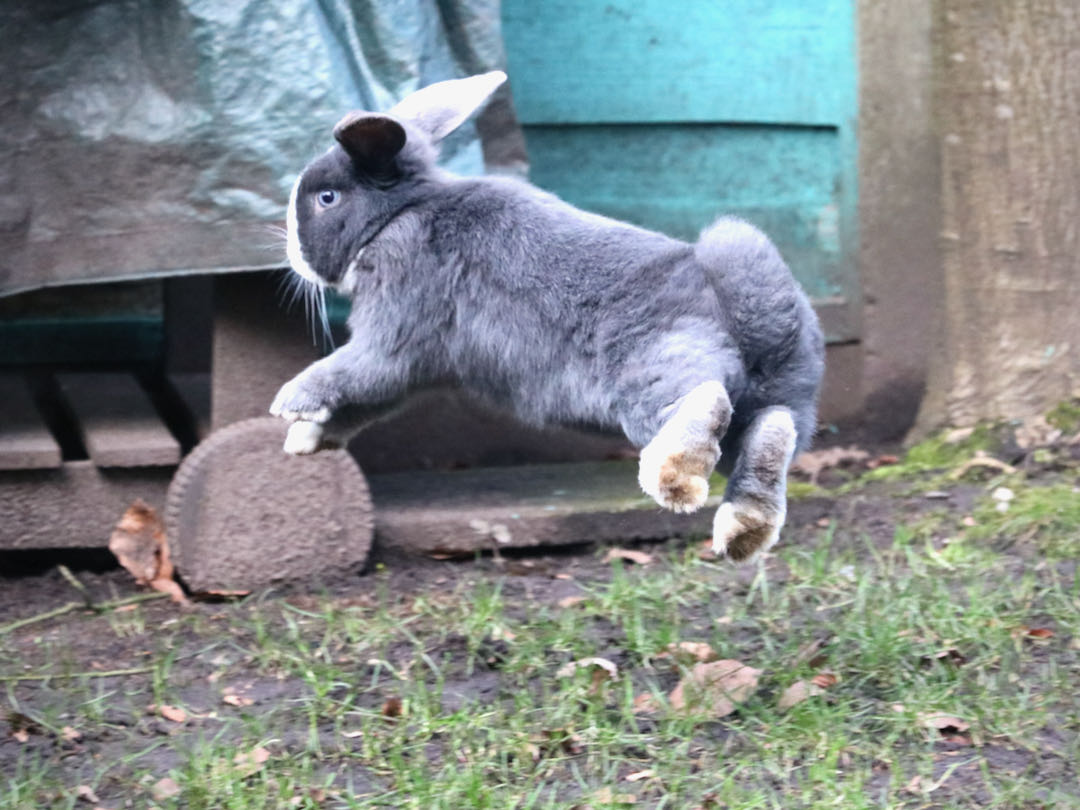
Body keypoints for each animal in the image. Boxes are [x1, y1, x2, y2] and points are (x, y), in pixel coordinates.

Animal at [272, 71, 825, 565]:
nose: (293, 256)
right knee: (769, 431)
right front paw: (303, 440)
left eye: (327, 198)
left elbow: (350, 371)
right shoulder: (418, 370)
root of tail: (760, 325)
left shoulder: (393, 331)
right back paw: (744, 531)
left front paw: (287, 405)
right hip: (766, 408)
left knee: (706, 398)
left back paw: (674, 478)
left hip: (649, 376)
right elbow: (362, 402)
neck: (400, 212)